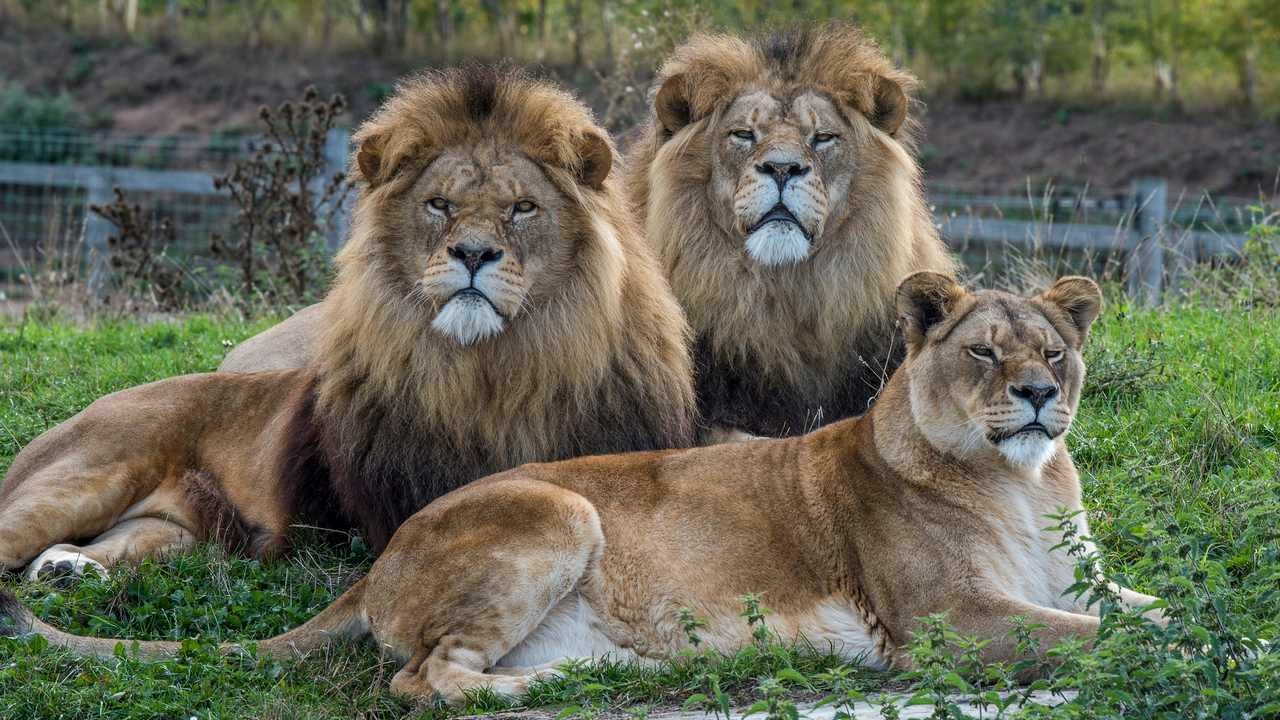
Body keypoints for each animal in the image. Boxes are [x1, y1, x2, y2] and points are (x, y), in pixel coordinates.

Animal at [0, 67, 696, 576]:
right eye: (438, 204)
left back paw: (67, 572)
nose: (473, 254)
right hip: (80, 483)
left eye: (522, 208)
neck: (494, 373)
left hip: (171, 534)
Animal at [0, 271, 1167, 702]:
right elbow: (1087, 640)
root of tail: (381, 557)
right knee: (422, 679)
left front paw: (1197, 629)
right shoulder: (944, 624)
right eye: (983, 353)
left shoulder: (1078, 580)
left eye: (1054, 352)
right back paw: (546, 696)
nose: (1036, 394)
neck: (1024, 482)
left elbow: (1142, 609)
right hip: (558, 508)